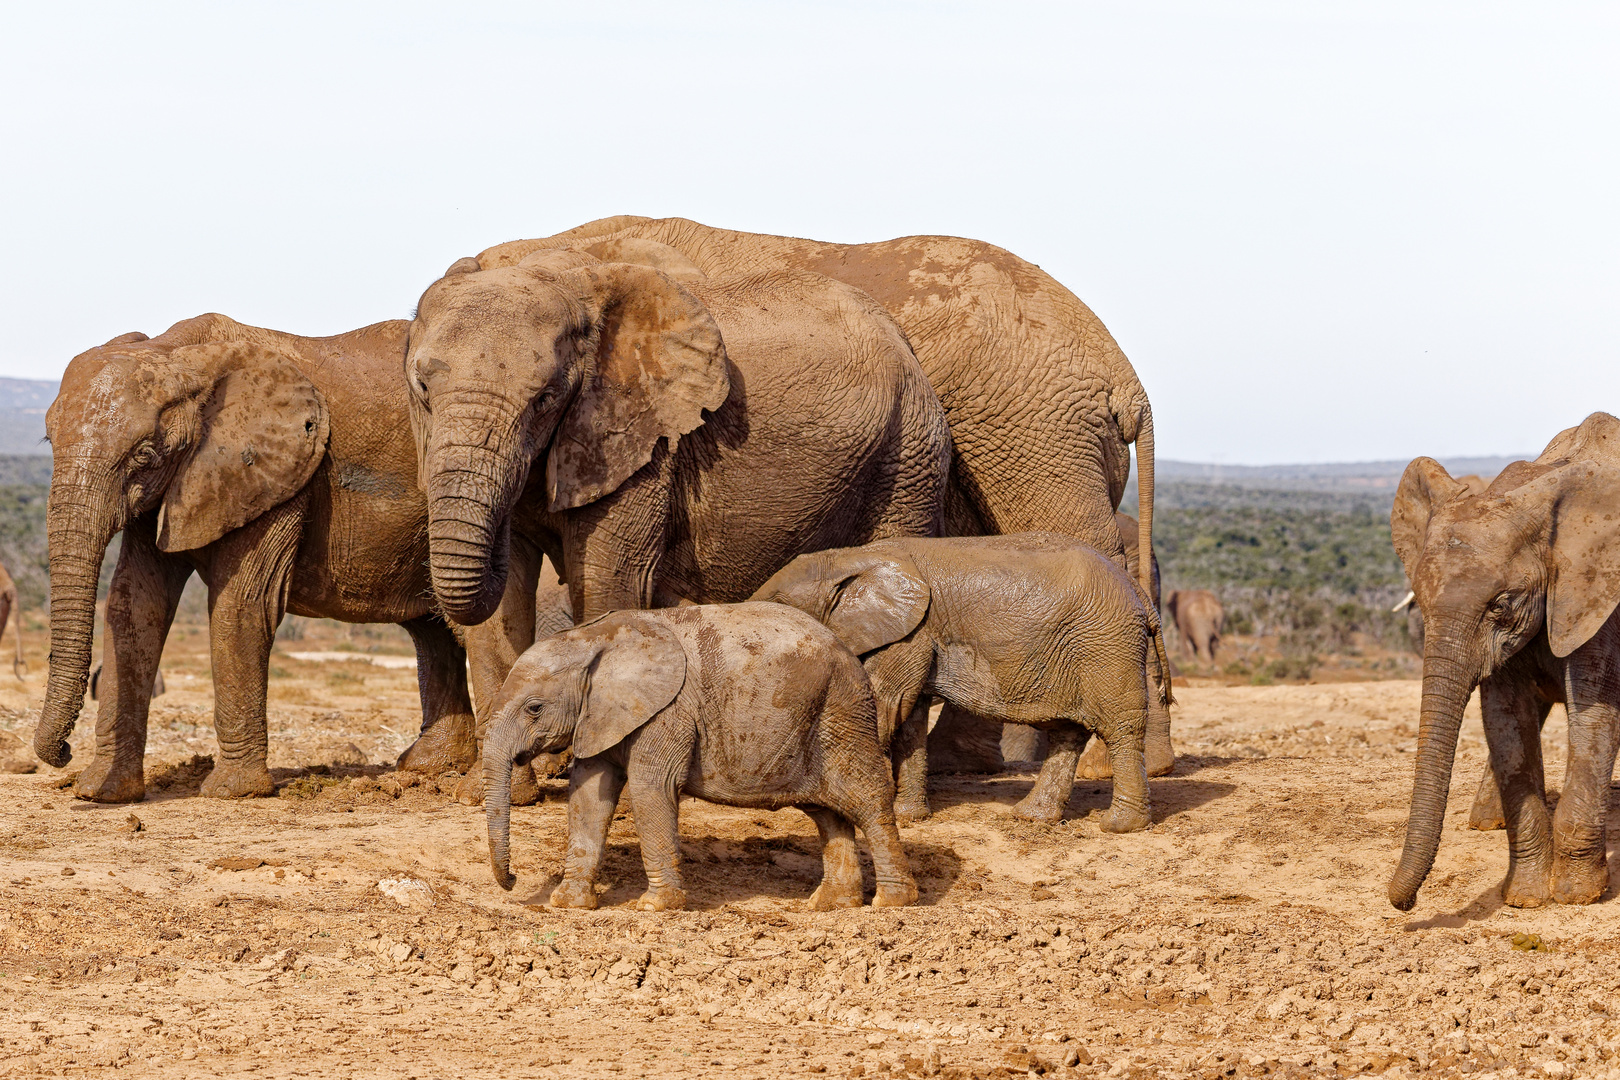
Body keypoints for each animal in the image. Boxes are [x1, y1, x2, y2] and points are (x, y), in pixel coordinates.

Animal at [33, 314, 505, 803]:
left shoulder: (278, 475)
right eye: (48, 439)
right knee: (432, 628)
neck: (176, 354)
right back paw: (429, 766)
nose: (64, 751)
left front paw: (231, 792)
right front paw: (101, 793)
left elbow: (241, 605)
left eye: (143, 455)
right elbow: (134, 605)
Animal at [479, 605, 920, 906]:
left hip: (843, 711)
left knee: (865, 799)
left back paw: (892, 902)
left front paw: (655, 907)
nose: (513, 881)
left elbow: (650, 789)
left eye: (534, 708)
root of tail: (849, 653)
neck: (595, 638)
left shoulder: (669, 712)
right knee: (828, 813)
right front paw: (566, 903)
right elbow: (589, 796)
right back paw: (828, 906)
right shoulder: (601, 715)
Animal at [751, 537, 1172, 835]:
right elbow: (908, 720)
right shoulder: (917, 634)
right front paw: (908, 817)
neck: (851, 556)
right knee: (1067, 732)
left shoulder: (912, 634)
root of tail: (1138, 592)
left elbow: (885, 706)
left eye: (779, 604)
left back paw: (1119, 826)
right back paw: (1031, 818)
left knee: (1119, 728)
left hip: (1106, 645)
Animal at [1380, 414, 1620, 913]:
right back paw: (1485, 823)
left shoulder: (1600, 597)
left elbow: (1593, 716)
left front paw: (1578, 896)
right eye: (1421, 604)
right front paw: (1525, 899)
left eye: (1501, 605)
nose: (1403, 905)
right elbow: (1505, 717)